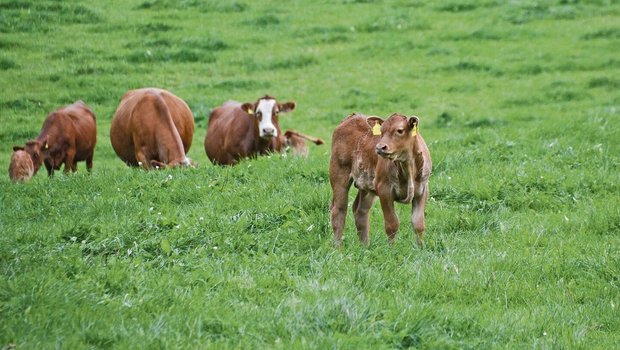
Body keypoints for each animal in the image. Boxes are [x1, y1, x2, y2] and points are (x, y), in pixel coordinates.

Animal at [330, 112, 432, 246]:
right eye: (381, 131)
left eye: (400, 130)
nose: (379, 147)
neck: (408, 167)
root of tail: (352, 116)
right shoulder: (384, 189)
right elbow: (392, 224)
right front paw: (391, 248)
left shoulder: (422, 189)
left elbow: (418, 224)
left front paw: (420, 248)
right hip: (339, 174)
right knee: (339, 210)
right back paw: (337, 246)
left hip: (367, 185)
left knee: (360, 211)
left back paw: (365, 246)